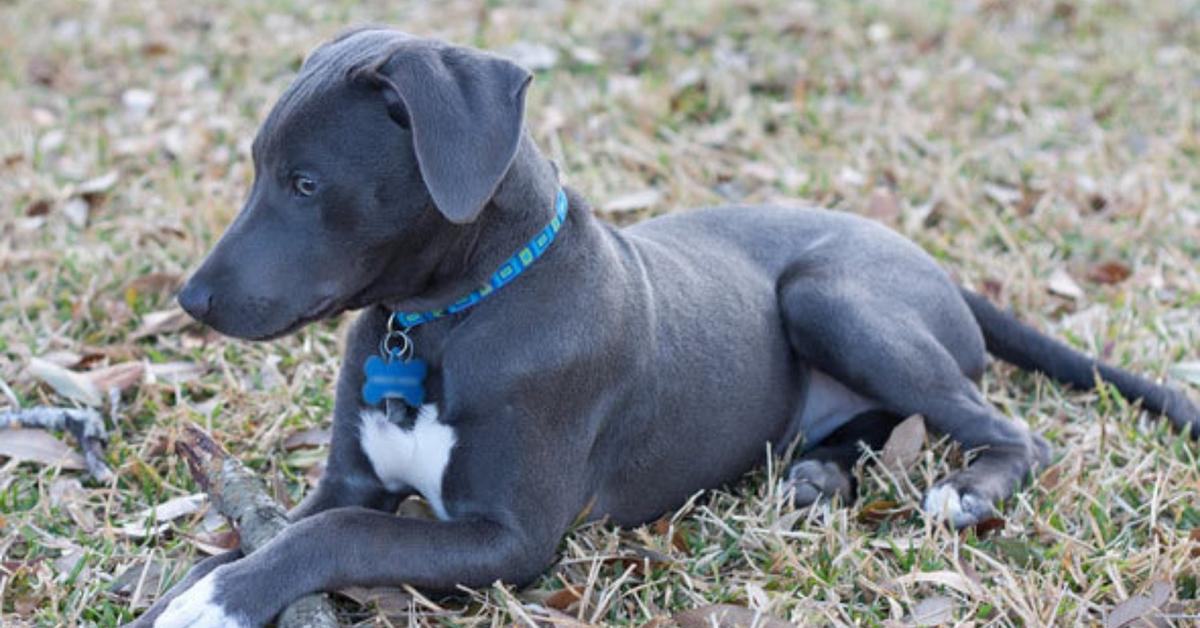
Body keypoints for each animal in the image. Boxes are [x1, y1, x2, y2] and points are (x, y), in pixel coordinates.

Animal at [131, 27, 1200, 624]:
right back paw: (814, 476)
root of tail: (933, 263)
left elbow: (334, 534)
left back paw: (967, 492)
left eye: (307, 184)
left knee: (1012, 430)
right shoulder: (351, 475)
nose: (190, 301)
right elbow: (281, 528)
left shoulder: (510, 539)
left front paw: (214, 602)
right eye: (258, 168)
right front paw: (190, 583)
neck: (443, 321)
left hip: (831, 295)